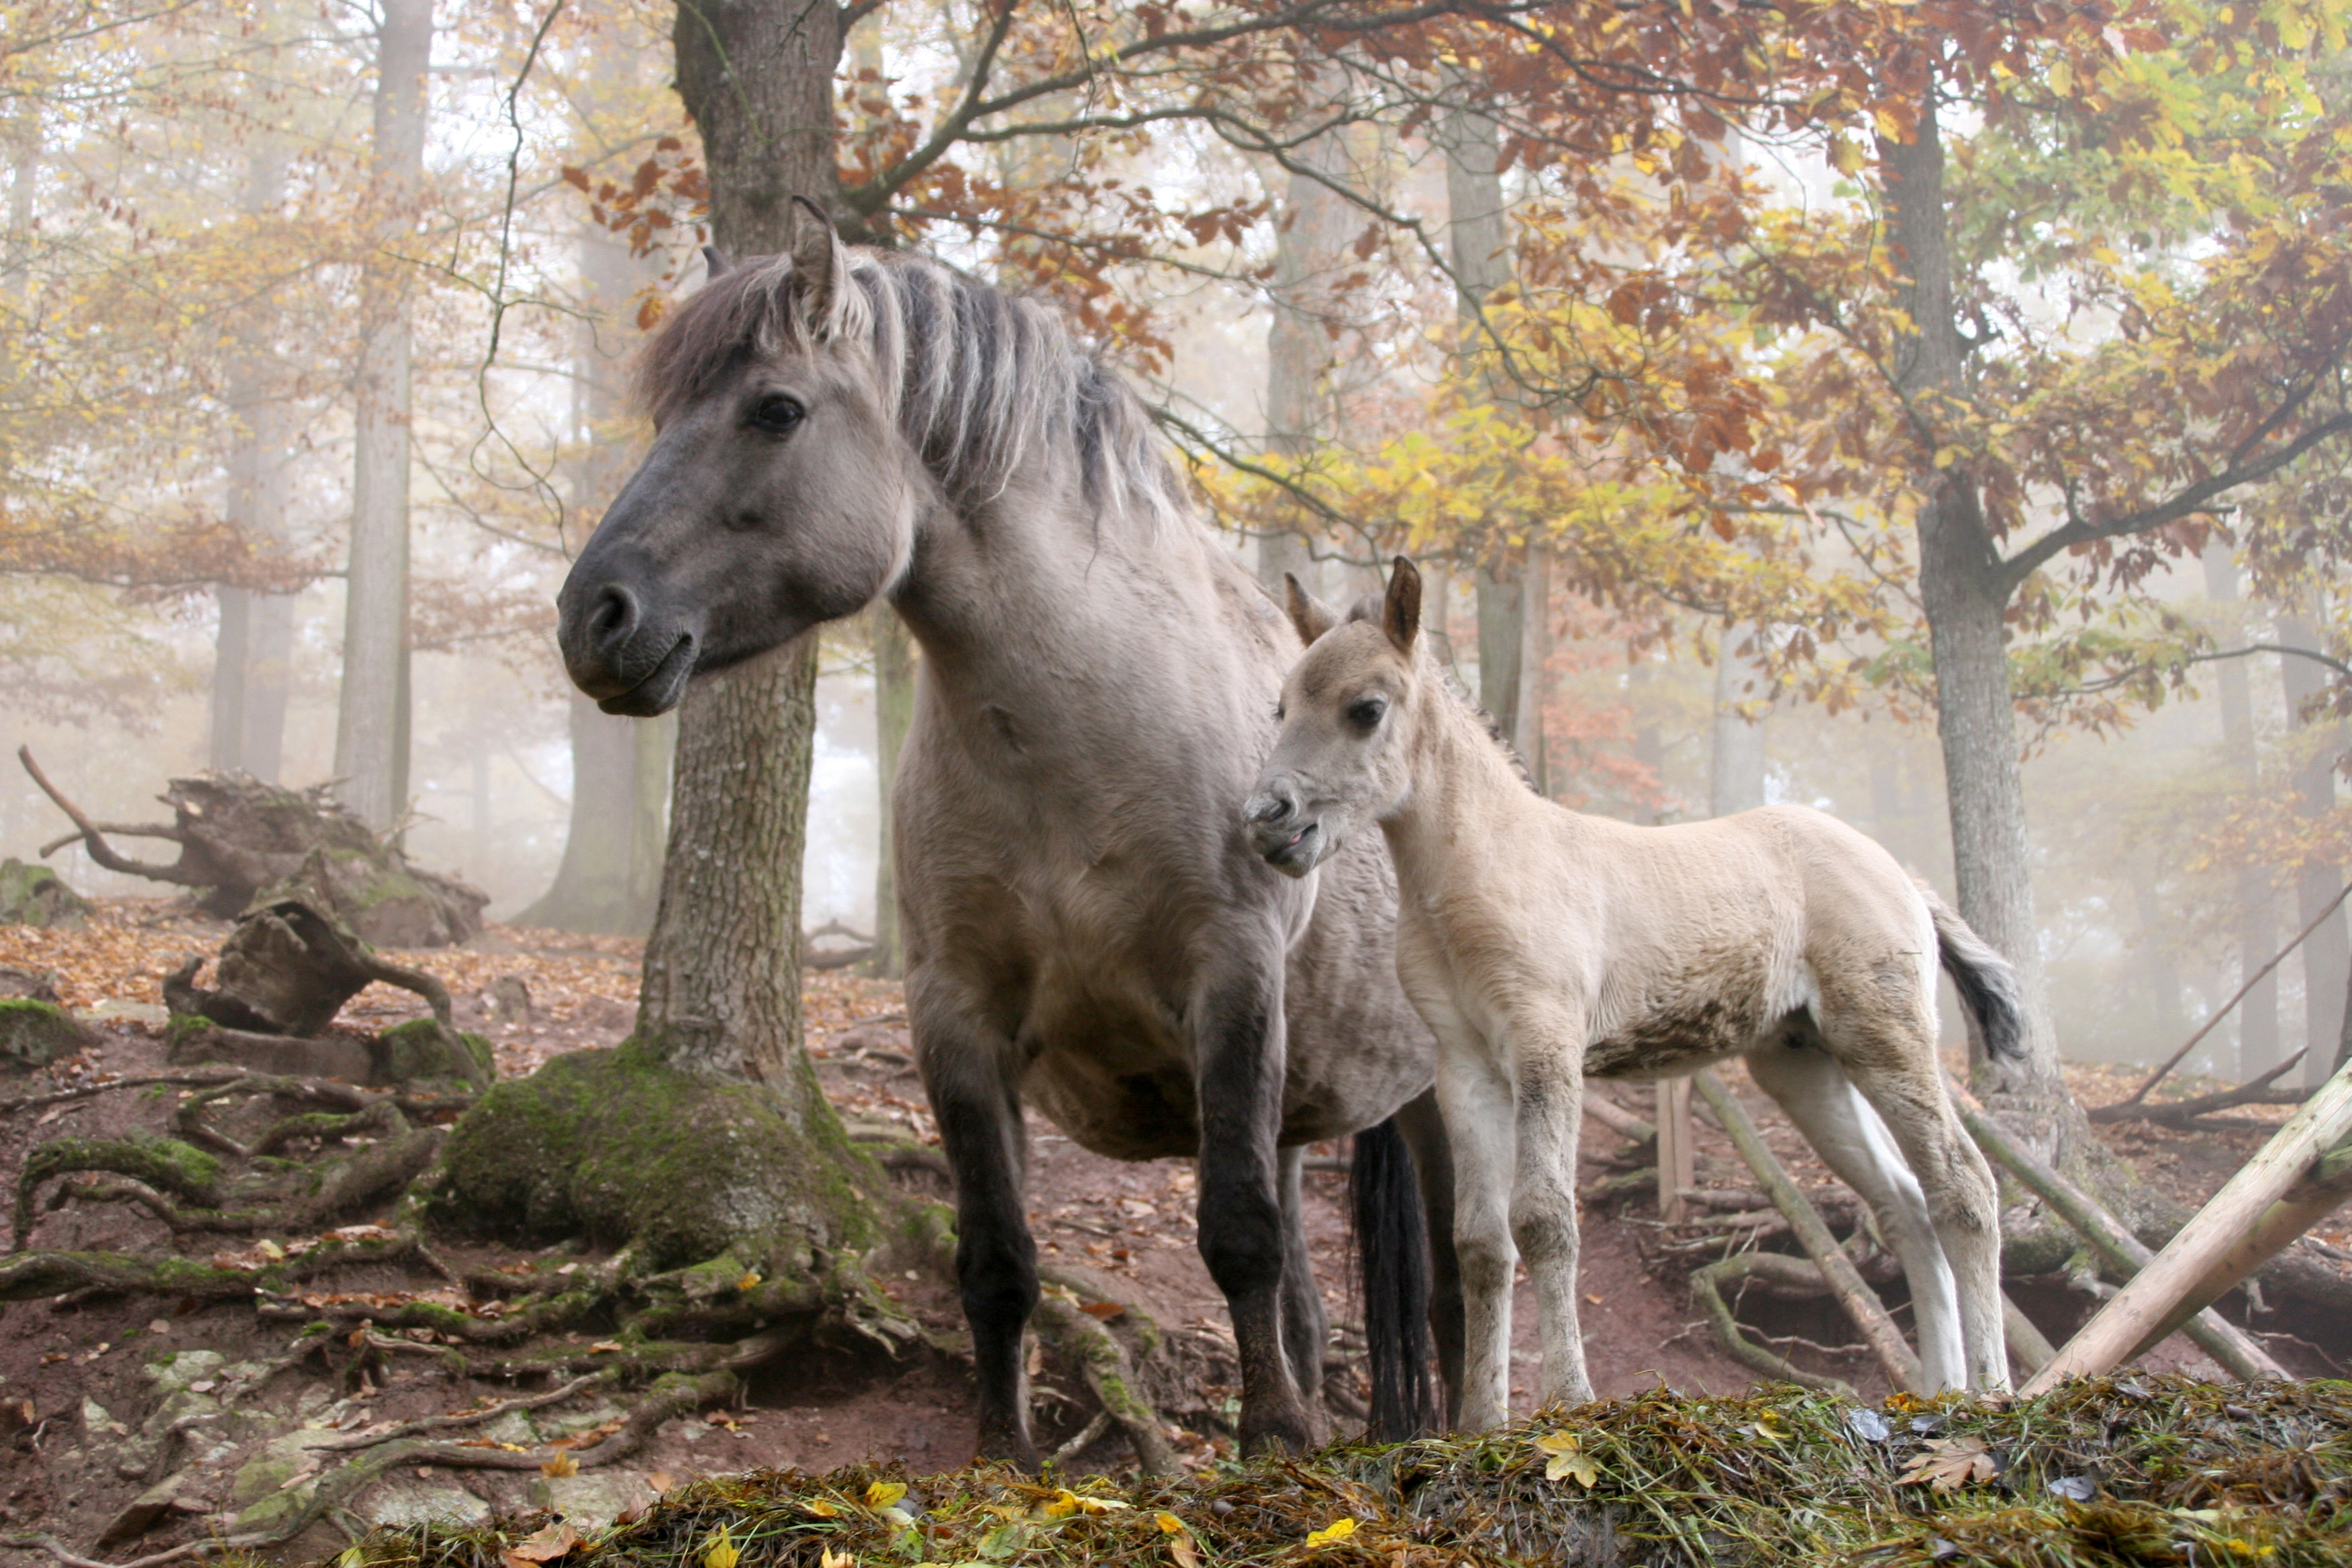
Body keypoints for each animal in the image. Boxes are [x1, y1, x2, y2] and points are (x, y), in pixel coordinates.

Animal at [559, 202, 1458, 1467]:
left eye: (775, 409)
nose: (593, 620)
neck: (1073, 742)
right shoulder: (956, 1015)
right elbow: (996, 1259)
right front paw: (1004, 1454)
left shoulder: (1230, 980)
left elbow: (1233, 1233)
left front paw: (1274, 1440)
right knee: (1309, 1292)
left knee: (1459, 1288)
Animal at [1251, 564, 2022, 1420]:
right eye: (1282, 706)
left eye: (1366, 708)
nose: (1269, 818)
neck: (1486, 868)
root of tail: (1904, 877)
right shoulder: (1466, 1067)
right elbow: (1481, 1239)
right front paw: (1482, 1421)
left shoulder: (1547, 1048)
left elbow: (1545, 1219)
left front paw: (1568, 1400)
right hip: (1804, 1063)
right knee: (1904, 1205)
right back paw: (1938, 1393)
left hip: (1886, 1039)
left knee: (1964, 1185)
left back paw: (1991, 1389)